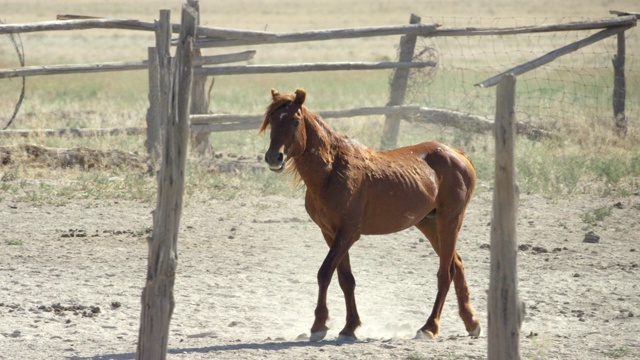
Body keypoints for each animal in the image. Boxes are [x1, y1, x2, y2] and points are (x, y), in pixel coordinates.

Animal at [260, 88, 480, 342]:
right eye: (272, 121)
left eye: (295, 121)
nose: (273, 157)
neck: (333, 171)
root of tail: (458, 155)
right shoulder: (331, 233)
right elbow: (345, 279)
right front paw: (349, 327)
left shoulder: (348, 233)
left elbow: (325, 273)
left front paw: (319, 325)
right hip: (429, 223)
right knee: (457, 265)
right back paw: (472, 323)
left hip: (449, 220)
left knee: (446, 272)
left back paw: (429, 327)